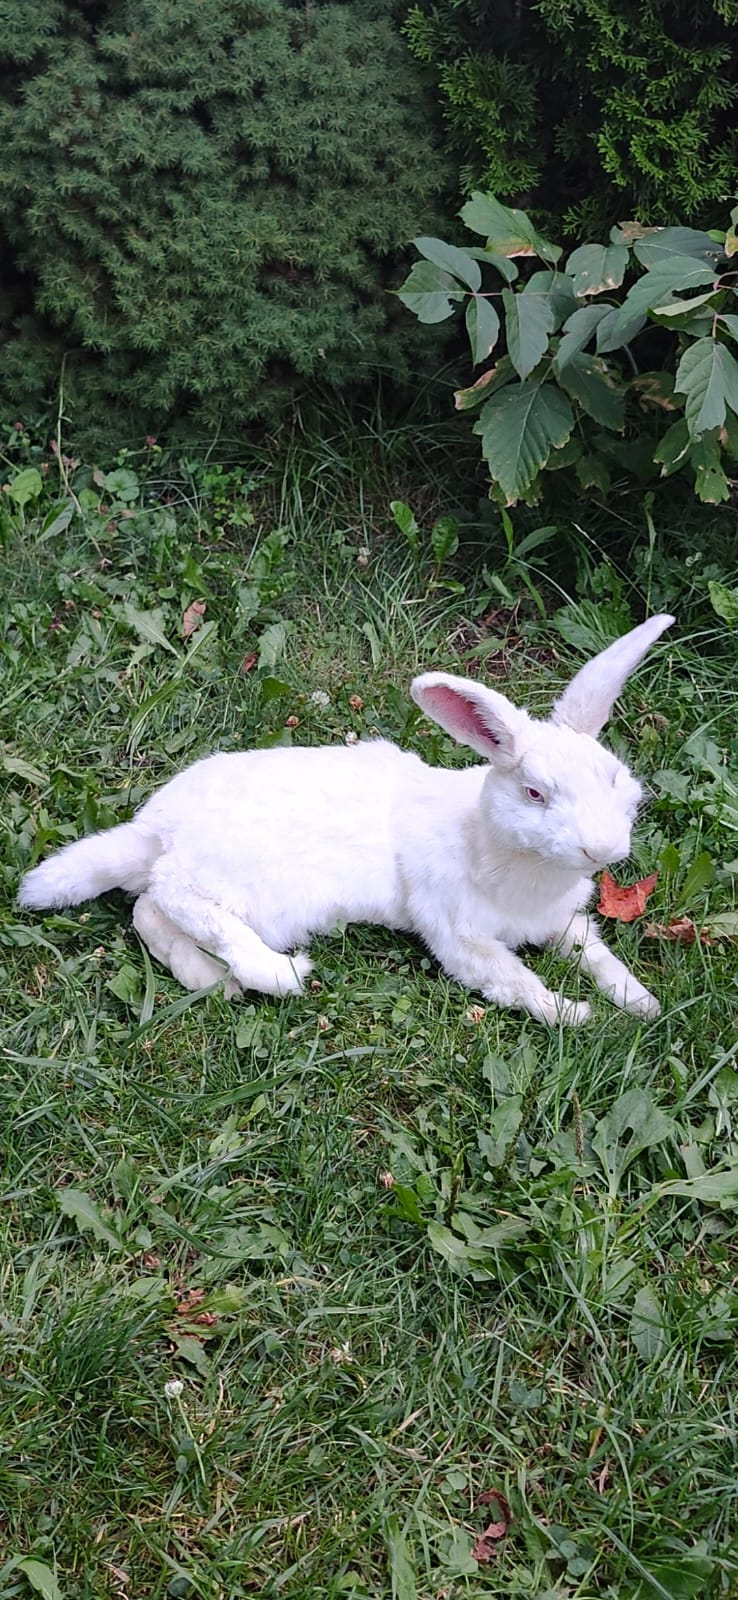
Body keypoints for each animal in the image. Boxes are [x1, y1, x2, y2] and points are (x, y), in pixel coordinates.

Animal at [18, 612, 674, 1026]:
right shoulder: (461, 939)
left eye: (615, 778)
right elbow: (516, 984)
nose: (604, 851)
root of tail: (157, 830)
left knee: (148, 910)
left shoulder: (566, 924)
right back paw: (273, 973)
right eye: (535, 793)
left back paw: (218, 980)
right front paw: (575, 1015)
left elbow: (598, 956)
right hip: (236, 887)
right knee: (170, 901)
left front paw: (640, 1003)